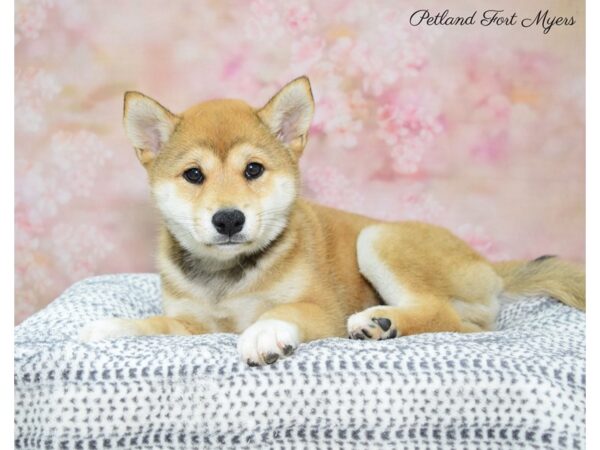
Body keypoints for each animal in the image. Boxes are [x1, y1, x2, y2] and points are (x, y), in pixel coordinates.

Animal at [77, 76, 584, 366]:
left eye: (253, 170)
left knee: (438, 312)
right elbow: (156, 324)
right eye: (194, 175)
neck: (229, 277)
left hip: (378, 239)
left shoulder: (321, 310)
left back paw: (380, 321)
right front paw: (109, 328)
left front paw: (264, 332)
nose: (228, 219)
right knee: (468, 327)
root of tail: (486, 263)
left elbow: (281, 311)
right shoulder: (194, 324)